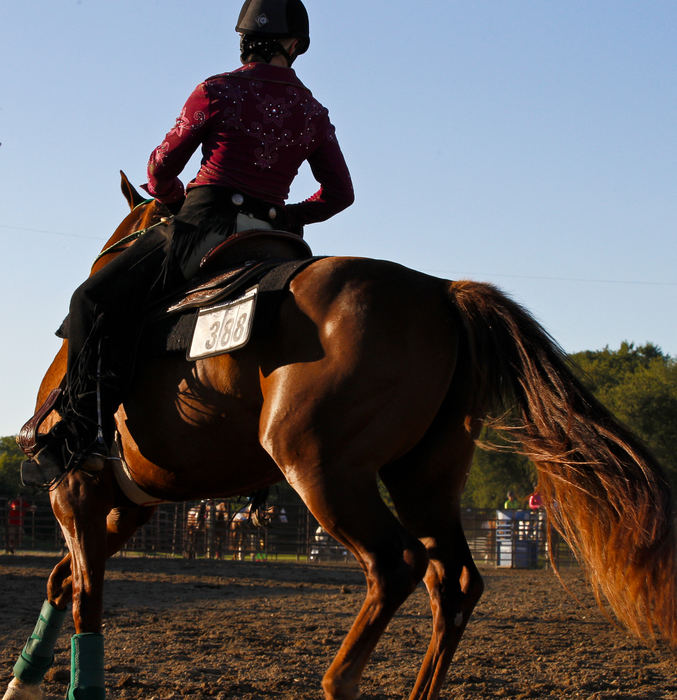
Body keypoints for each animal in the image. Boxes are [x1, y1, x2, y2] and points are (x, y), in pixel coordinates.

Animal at [5, 174, 676, 700]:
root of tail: (440, 293)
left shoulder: (76, 494)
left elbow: (85, 595)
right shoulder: (128, 507)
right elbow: (64, 582)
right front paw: (22, 682)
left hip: (324, 471)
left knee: (396, 564)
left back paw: (340, 681)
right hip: (423, 478)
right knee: (452, 580)